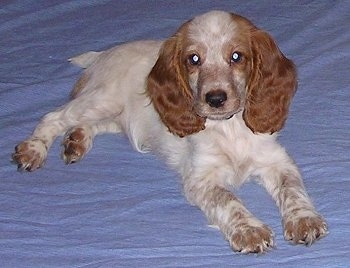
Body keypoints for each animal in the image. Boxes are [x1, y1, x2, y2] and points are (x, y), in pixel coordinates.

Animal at [12, 11, 326, 253]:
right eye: (193, 59)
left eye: (237, 56)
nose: (215, 99)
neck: (229, 127)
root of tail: (104, 54)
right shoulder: (200, 179)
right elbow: (229, 200)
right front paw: (250, 231)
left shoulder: (276, 160)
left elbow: (292, 189)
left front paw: (304, 220)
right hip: (102, 99)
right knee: (54, 117)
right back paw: (33, 150)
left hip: (114, 113)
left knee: (91, 124)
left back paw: (75, 141)